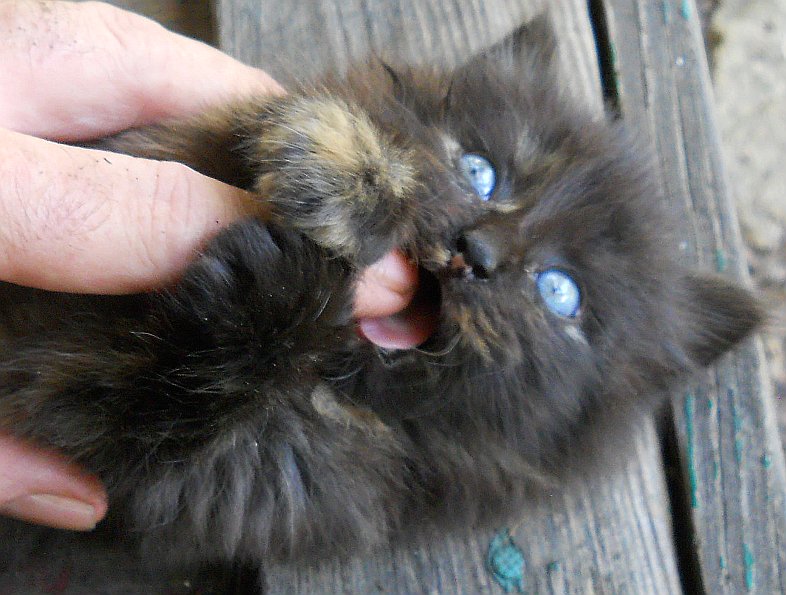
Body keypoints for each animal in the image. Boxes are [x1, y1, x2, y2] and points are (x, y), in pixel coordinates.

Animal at [0, 17, 762, 570]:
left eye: (558, 292)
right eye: (479, 171)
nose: (476, 253)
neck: (319, 386)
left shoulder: (189, 462)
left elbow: (170, 390)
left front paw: (285, 283)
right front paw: (348, 171)